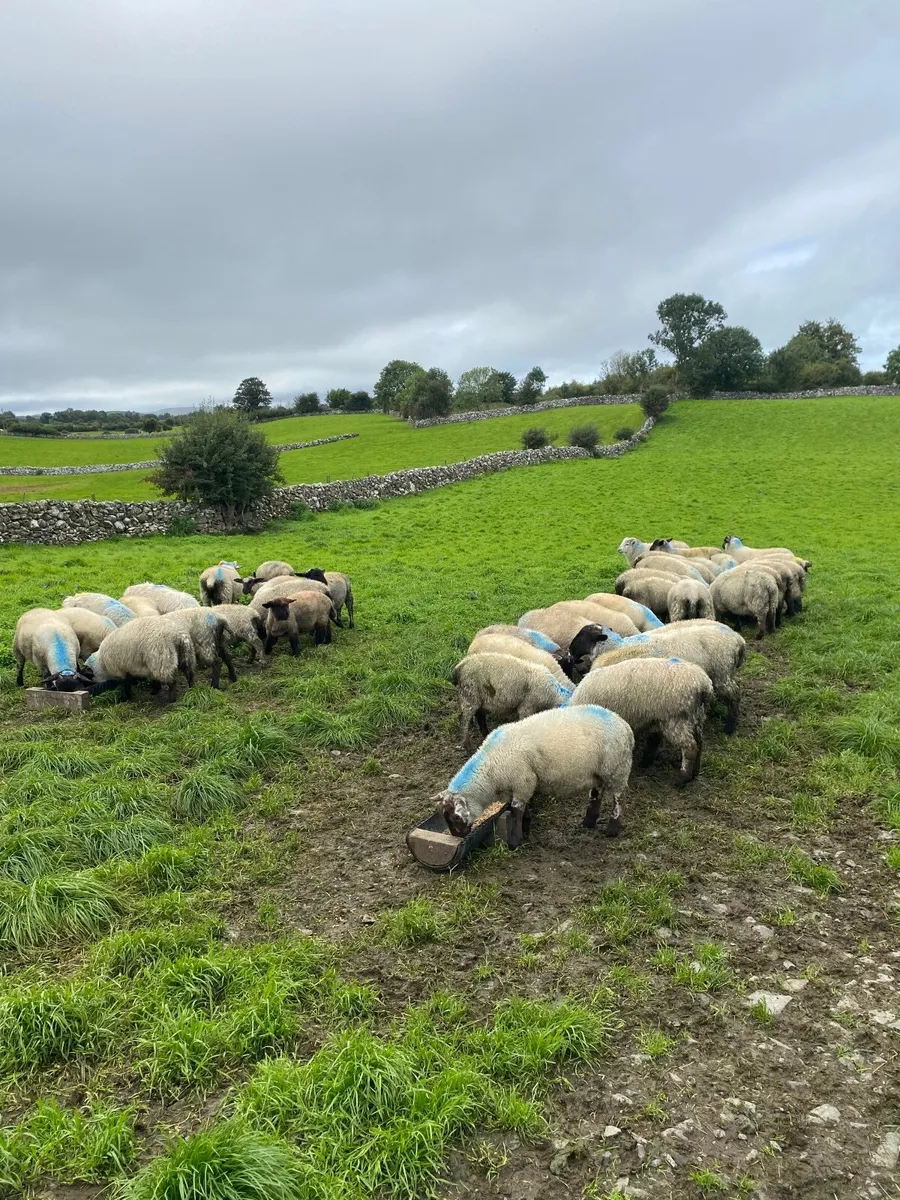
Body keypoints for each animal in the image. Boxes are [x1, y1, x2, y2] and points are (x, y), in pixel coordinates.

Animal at [434, 705, 634, 847]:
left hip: (616, 768)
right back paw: (589, 822)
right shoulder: (522, 786)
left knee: (619, 798)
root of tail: (625, 726)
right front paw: (526, 827)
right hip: (598, 771)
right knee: (596, 793)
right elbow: (523, 809)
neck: (491, 772)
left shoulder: (523, 781)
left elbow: (516, 812)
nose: (457, 837)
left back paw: (612, 829)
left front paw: (514, 841)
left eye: (455, 818)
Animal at [569, 657, 713, 786]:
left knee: (690, 748)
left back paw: (682, 779)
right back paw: (695, 773)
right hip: (696, 717)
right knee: (700, 744)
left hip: (677, 719)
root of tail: (704, 684)